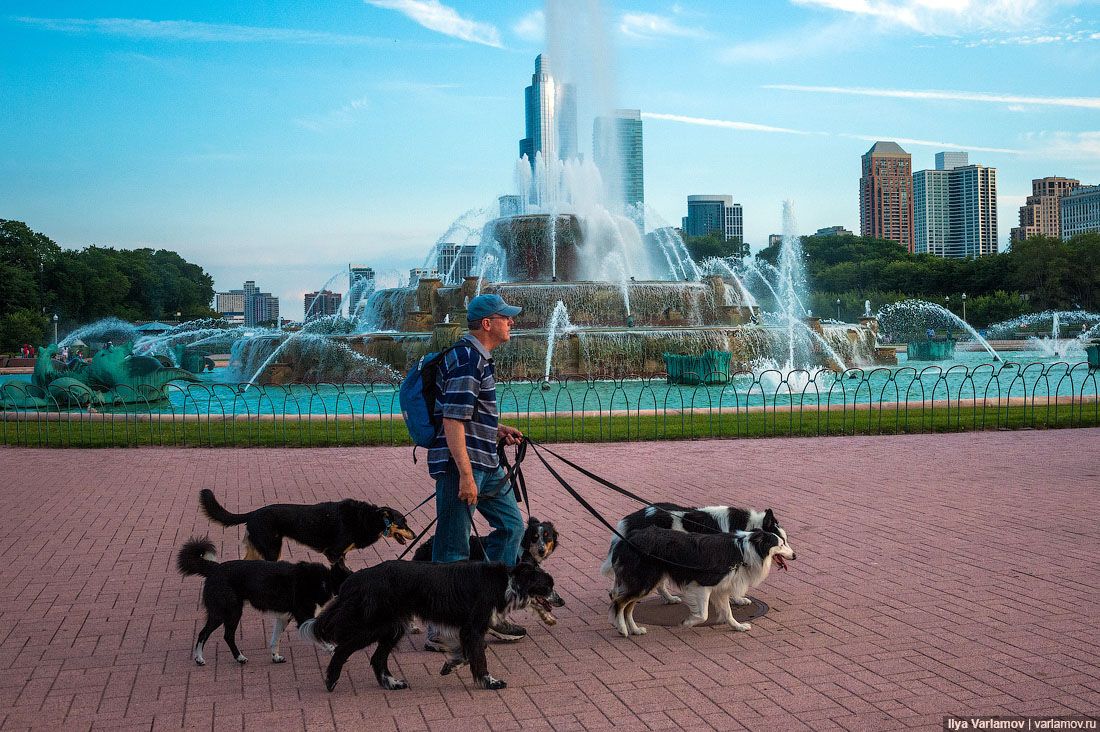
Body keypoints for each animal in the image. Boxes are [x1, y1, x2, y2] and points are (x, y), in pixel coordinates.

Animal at [177, 534, 347, 664]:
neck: (325, 580)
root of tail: (214, 568)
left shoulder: (283, 618)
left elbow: (275, 640)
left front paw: (276, 657)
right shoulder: (304, 618)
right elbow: (318, 635)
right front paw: (331, 648)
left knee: (219, 635)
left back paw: (234, 657)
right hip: (228, 612)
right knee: (212, 634)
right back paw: (205, 658)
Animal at [196, 488, 413, 567]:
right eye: (403, 522)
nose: (414, 534)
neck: (369, 518)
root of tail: (253, 513)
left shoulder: (340, 554)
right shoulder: (334, 553)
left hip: (260, 548)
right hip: (272, 549)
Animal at [301, 559, 558, 691]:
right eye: (547, 586)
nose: (561, 600)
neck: (506, 582)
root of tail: (356, 578)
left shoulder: (466, 629)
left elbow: (469, 653)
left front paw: (451, 665)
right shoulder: (473, 627)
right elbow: (479, 656)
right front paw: (490, 681)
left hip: (393, 627)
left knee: (377, 658)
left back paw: (391, 683)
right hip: (375, 626)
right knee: (344, 649)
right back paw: (331, 680)